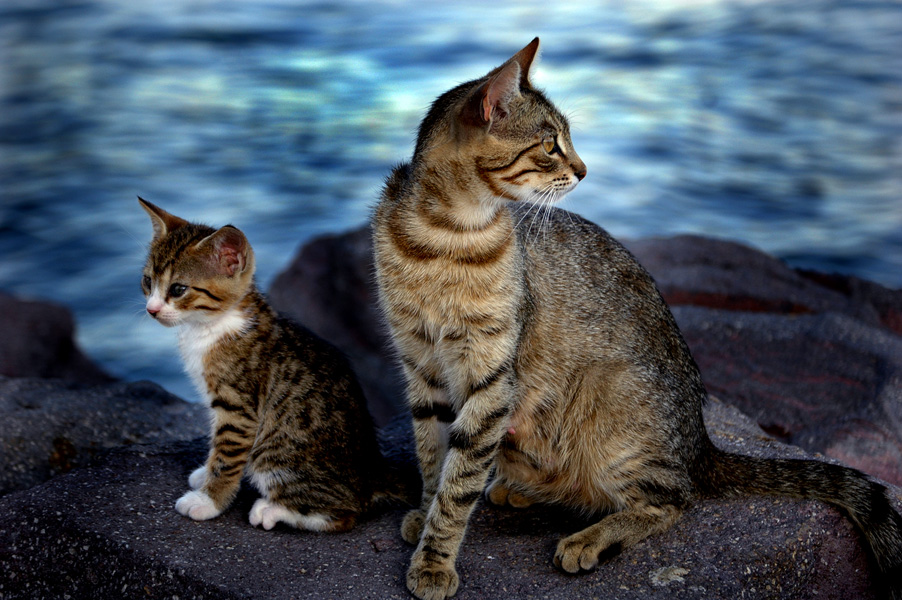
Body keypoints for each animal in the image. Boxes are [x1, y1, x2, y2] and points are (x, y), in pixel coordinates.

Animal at [140, 199, 410, 532]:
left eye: (178, 289)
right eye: (148, 281)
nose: (152, 309)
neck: (211, 327)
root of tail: (373, 473)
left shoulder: (238, 407)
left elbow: (227, 456)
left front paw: (209, 500)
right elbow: (216, 444)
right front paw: (205, 473)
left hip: (276, 453)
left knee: (344, 512)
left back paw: (271, 510)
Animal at [370, 38, 900, 600]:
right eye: (551, 144)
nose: (584, 169)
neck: (444, 236)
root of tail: (701, 443)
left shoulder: (490, 375)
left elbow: (459, 480)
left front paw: (434, 560)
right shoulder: (420, 363)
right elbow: (434, 458)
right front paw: (425, 516)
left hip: (612, 411)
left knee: (672, 499)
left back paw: (589, 538)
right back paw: (518, 488)